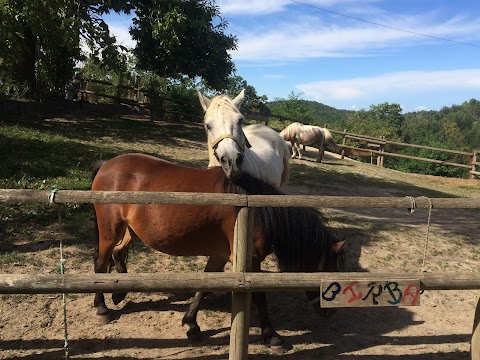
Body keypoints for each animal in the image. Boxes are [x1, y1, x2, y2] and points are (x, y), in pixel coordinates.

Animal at [90, 153, 344, 348]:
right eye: (328, 270)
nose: (331, 312)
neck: (256, 212)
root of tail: (106, 164)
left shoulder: (220, 256)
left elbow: (204, 287)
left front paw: (191, 324)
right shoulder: (250, 260)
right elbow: (260, 297)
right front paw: (272, 336)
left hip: (131, 230)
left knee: (118, 253)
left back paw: (119, 293)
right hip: (110, 231)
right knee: (100, 264)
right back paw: (102, 308)